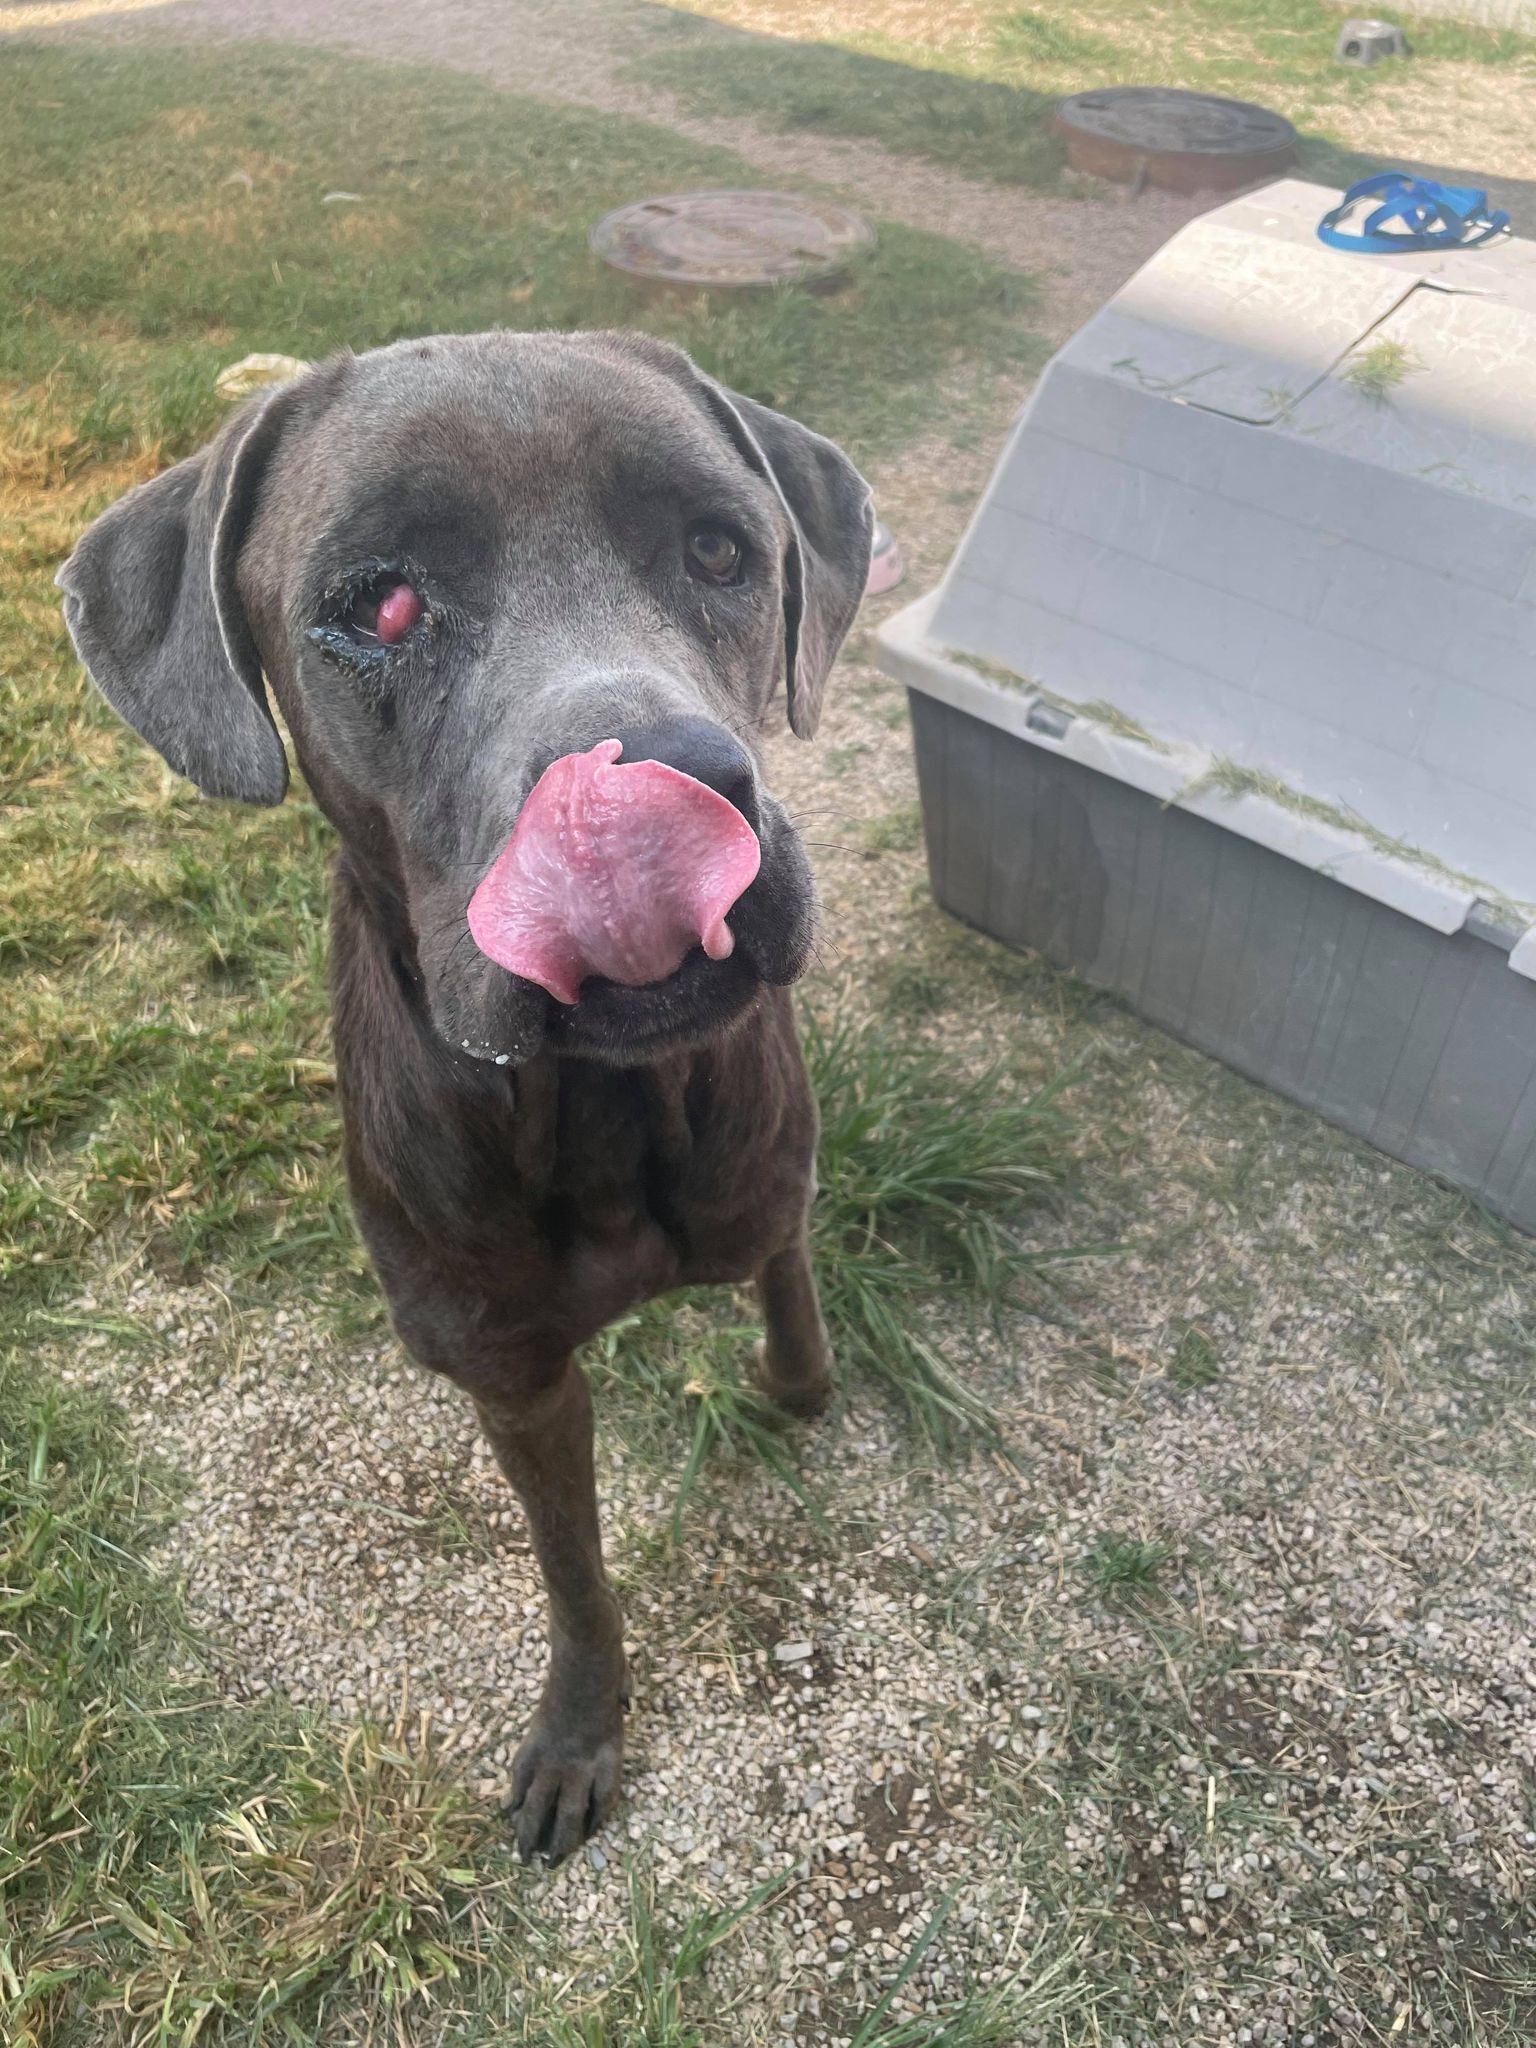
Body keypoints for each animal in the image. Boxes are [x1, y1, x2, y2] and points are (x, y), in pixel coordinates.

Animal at [57, 331, 876, 1859]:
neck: (595, 1109)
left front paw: (792, 1378)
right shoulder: (511, 1378)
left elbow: (787, 1294)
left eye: (720, 548)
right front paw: (581, 1732)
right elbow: (573, 1573)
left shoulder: (760, 1183)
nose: (661, 782)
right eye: (380, 603)